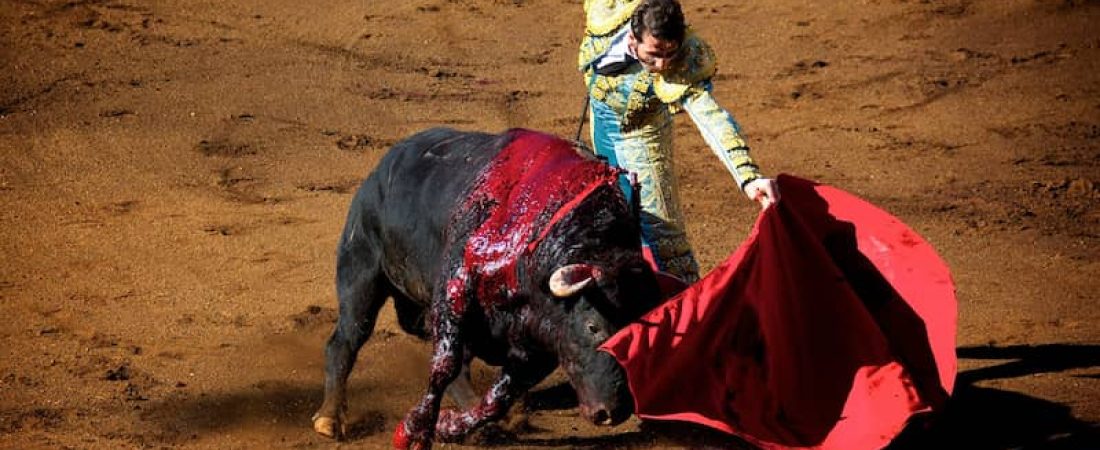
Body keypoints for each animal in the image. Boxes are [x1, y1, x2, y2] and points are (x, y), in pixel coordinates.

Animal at [314, 127, 664, 448]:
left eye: (637, 337)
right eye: (593, 327)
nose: (613, 412)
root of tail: (381, 169)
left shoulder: (539, 347)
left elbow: (497, 399)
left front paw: (451, 426)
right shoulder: (455, 289)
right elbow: (445, 365)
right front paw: (414, 432)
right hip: (361, 273)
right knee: (346, 340)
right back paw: (329, 418)